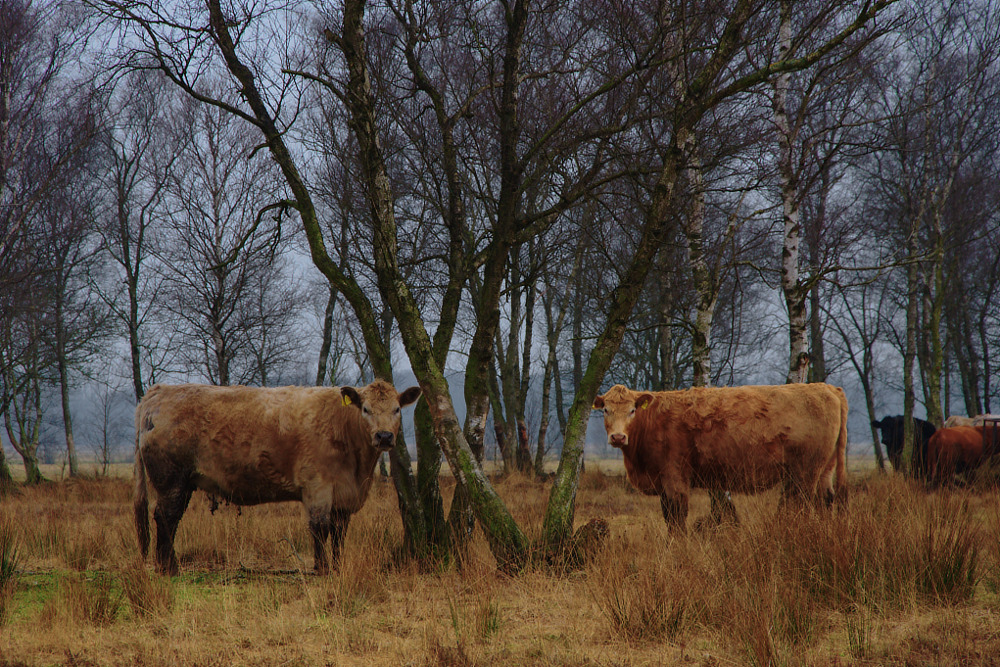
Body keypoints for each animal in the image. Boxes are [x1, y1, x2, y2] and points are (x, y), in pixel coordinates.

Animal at [131, 380, 420, 576]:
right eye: (366, 409)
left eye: (397, 409)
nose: (384, 436)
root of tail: (161, 391)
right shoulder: (317, 487)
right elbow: (320, 529)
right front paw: (323, 570)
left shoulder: (343, 497)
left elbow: (339, 534)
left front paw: (337, 568)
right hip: (170, 479)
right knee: (165, 518)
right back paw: (168, 569)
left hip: (183, 482)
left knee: (171, 519)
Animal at [588, 384, 848, 528]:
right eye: (606, 410)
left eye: (632, 410)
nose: (618, 437)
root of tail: (826, 387)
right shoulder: (662, 482)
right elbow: (668, 517)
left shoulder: (674, 478)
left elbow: (677, 519)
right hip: (824, 469)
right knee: (826, 500)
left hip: (806, 471)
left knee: (804, 504)